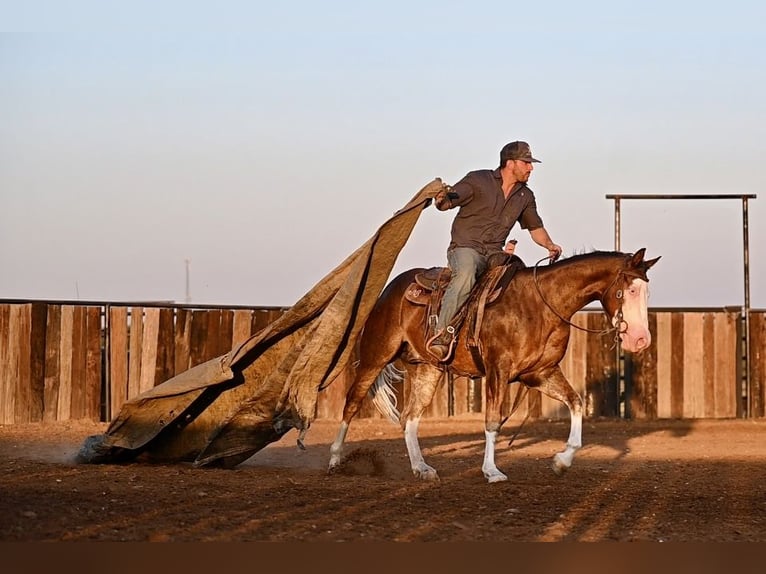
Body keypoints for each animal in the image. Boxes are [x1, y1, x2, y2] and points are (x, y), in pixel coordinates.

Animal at [328, 248, 660, 482]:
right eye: (630, 290)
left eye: (647, 291)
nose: (641, 339)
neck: (540, 305)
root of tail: (391, 289)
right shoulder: (497, 371)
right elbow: (492, 421)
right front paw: (492, 471)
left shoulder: (541, 374)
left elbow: (577, 403)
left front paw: (561, 461)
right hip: (375, 355)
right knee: (352, 403)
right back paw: (334, 460)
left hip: (427, 369)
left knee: (410, 418)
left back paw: (422, 468)